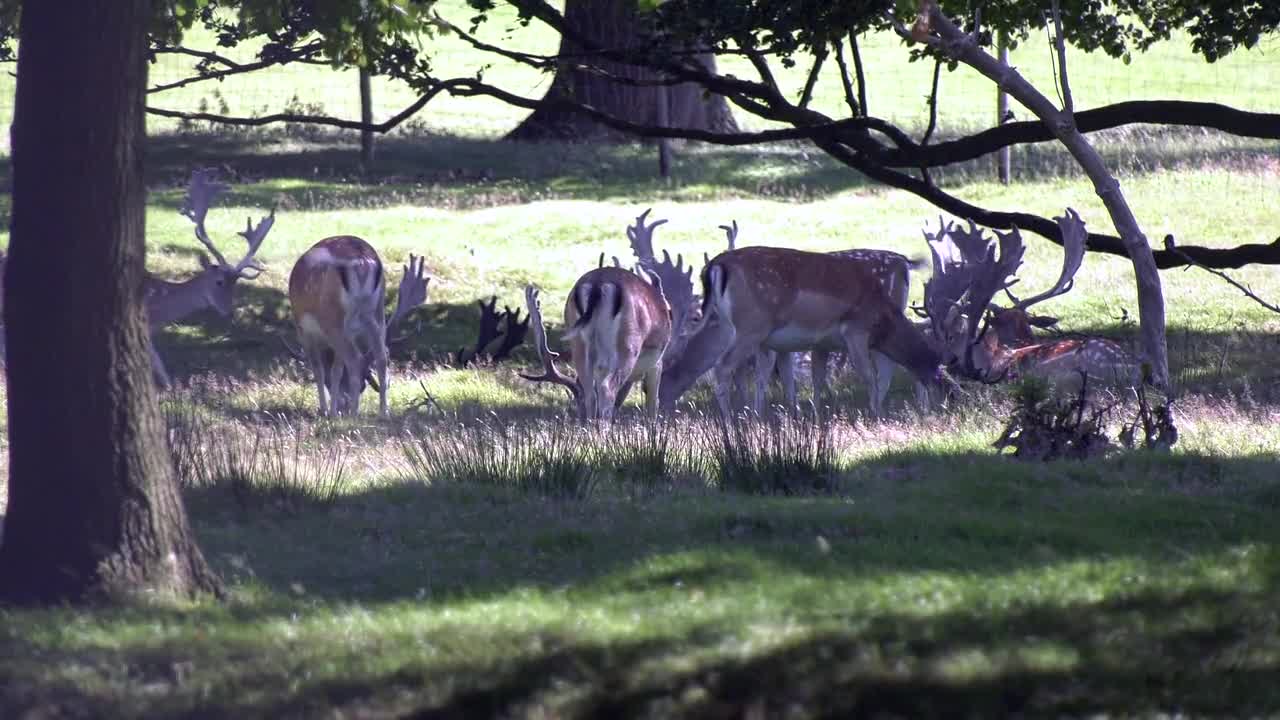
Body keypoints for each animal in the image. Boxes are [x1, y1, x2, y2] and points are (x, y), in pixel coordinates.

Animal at [144, 167, 273, 386]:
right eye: (219, 282)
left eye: (236, 284)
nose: (230, 313)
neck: (157, 309)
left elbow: (157, 362)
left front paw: (169, 387)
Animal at [289, 235, 430, 415]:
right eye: (363, 387)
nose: (343, 407)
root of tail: (363, 261)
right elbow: (336, 370)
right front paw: (332, 411)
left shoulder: (303, 330)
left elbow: (319, 369)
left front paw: (325, 411)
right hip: (376, 312)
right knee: (381, 356)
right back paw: (383, 412)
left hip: (333, 319)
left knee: (355, 359)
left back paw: (354, 414)